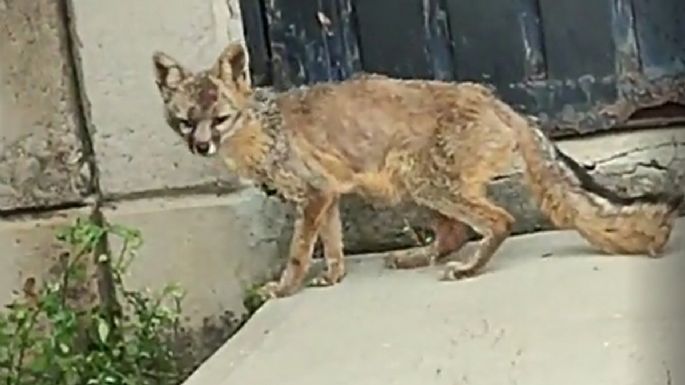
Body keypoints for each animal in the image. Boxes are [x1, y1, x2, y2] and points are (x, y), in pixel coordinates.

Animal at [151, 42, 684, 300]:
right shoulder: (327, 196)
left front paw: (285, 289)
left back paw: (468, 269)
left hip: (423, 183)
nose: (201, 146)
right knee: (452, 234)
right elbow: (334, 247)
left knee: (497, 221)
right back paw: (419, 257)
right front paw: (335, 278)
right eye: (186, 122)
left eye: (220, 118)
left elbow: (299, 254)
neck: (262, 127)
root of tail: (499, 101)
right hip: (412, 186)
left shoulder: (314, 195)